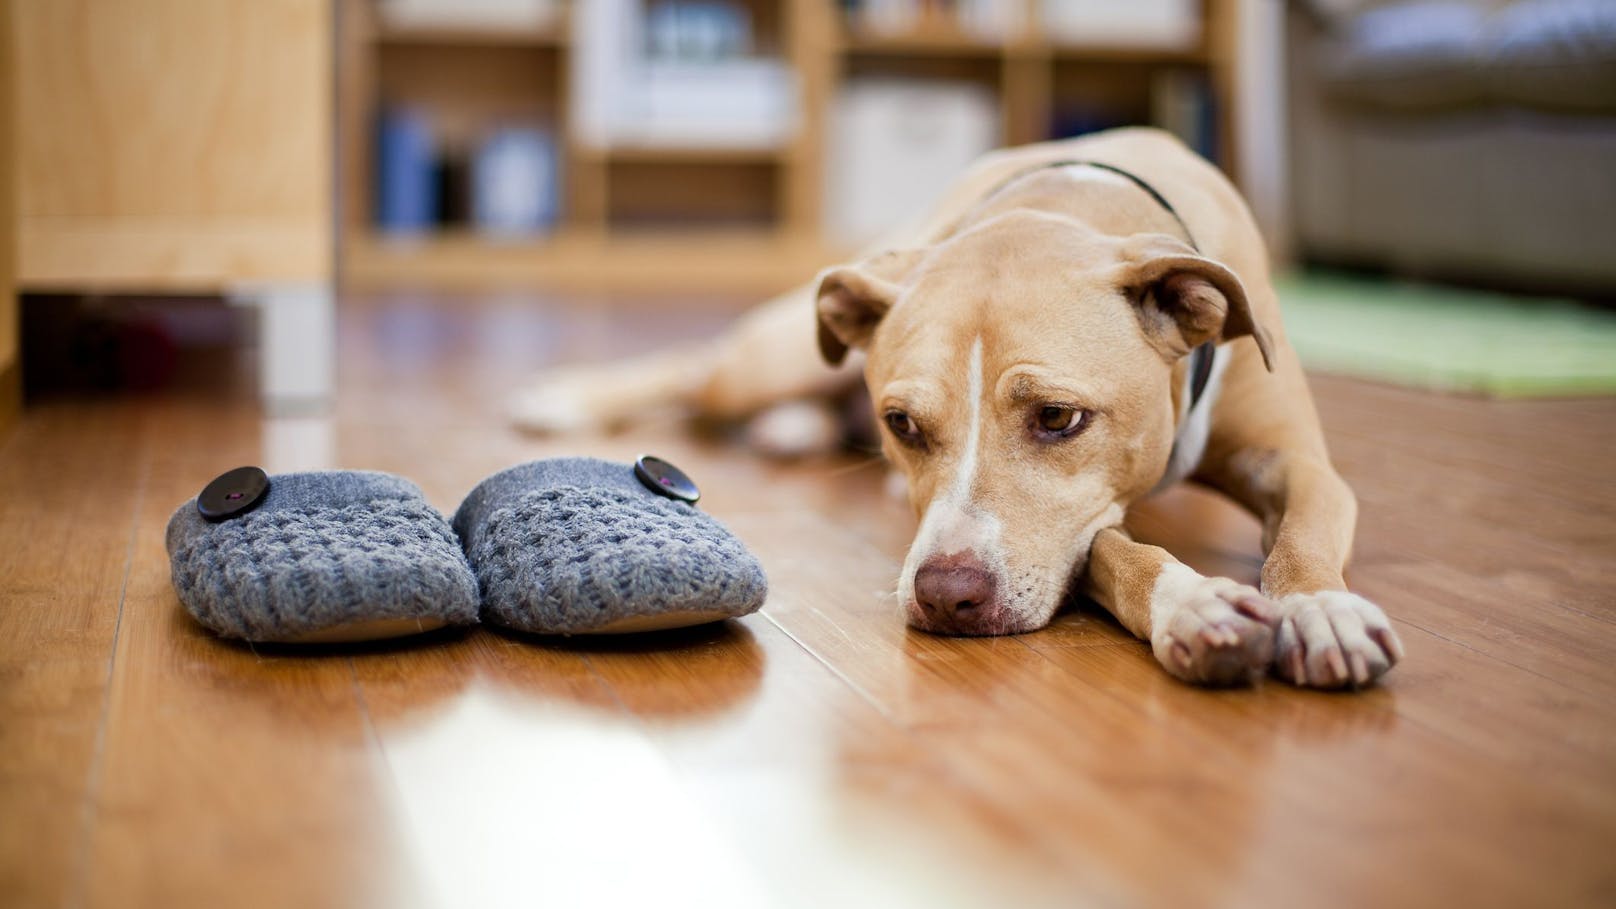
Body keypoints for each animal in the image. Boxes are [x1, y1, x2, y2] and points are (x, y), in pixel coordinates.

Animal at [513, 125, 1402, 679]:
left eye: (1058, 417)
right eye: (903, 424)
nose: (948, 595)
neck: (1070, 201)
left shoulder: (1297, 461)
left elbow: (1303, 534)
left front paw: (1320, 608)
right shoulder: (1075, 532)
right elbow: (1117, 553)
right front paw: (1194, 603)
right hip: (771, 354)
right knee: (695, 369)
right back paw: (568, 396)